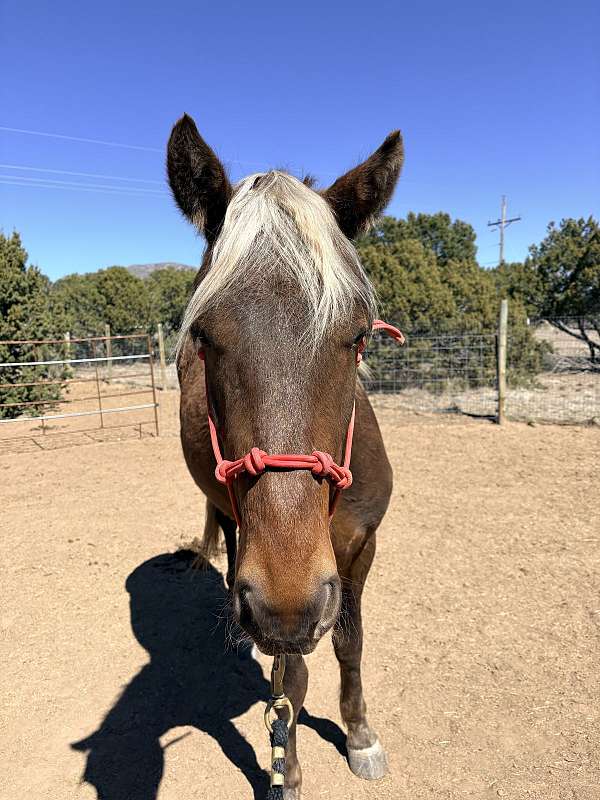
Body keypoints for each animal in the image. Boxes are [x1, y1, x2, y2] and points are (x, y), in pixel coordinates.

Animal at [167, 113, 403, 798]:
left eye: (357, 335)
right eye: (203, 336)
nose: (285, 602)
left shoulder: (358, 549)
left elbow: (350, 643)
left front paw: (360, 735)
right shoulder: (279, 588)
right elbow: (289, 680)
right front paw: (287, 768)